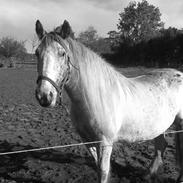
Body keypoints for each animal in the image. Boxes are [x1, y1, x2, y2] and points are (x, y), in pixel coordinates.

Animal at [35, 19, 183, 182]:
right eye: (37, 53)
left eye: (62, 53)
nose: (44, 96)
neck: (94, 98)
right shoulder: (88, 140)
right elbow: (98, 166)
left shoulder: (105, 142)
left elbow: (103, 171)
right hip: (158, 127)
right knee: (161, 146)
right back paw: (148, 174)